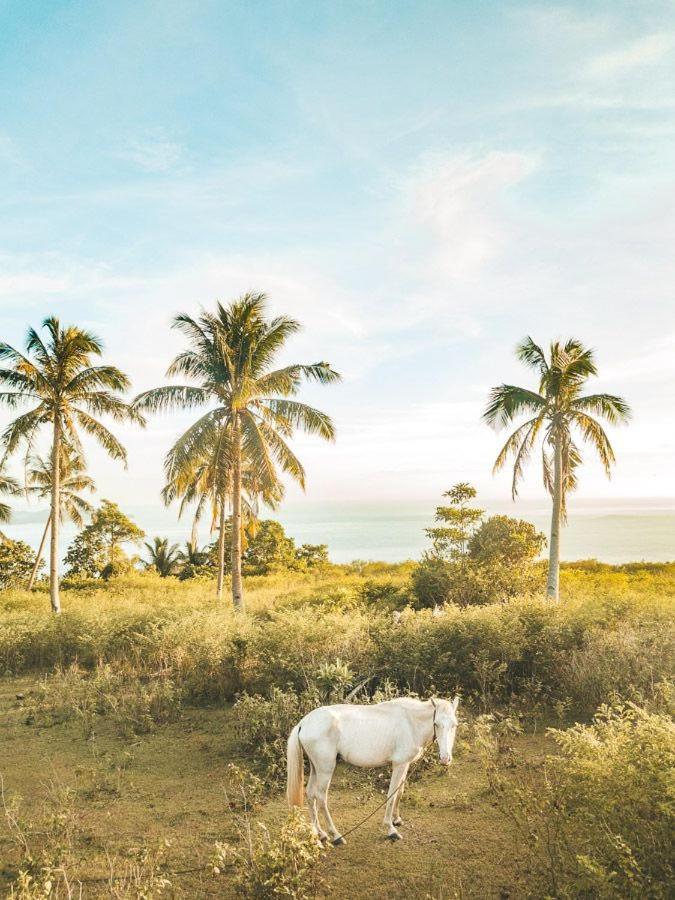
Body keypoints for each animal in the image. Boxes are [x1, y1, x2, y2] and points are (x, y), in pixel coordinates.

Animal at [286, 696, 460, 844]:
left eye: (454, 725)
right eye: (436, 724)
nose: (445, 759)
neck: (411, 722)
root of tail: (304, 722)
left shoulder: (405, 764)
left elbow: (400, 791)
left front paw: (397, 819)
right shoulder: (399, 764)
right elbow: (392, 794)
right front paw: (391, 829)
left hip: (315, 768)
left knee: (310, 794)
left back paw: (320, 833)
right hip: (325, 768)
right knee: (321, 797)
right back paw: (336, 835)